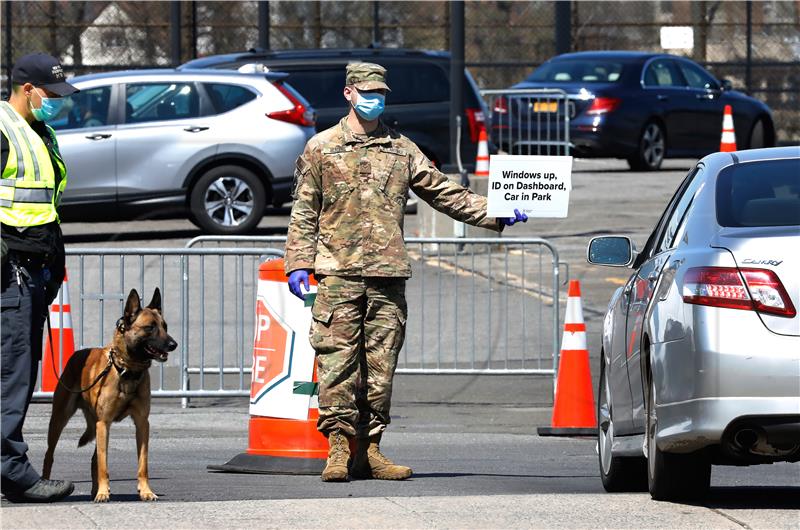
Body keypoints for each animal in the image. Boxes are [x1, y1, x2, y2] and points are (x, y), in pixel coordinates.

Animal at [42, 286, 177, 502]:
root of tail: (79, 353)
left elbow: (142, 463)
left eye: (165, 326)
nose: (174, 345)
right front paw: (104, 492)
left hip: (97, 427)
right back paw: (49, 483)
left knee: (94, 459)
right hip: (60, 420)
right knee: (50, 455)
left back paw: (94, 490)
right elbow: (104, 464)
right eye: (150, 327)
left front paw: (146, 491)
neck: (127, 370)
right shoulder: (104, 423)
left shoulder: (142, 424)